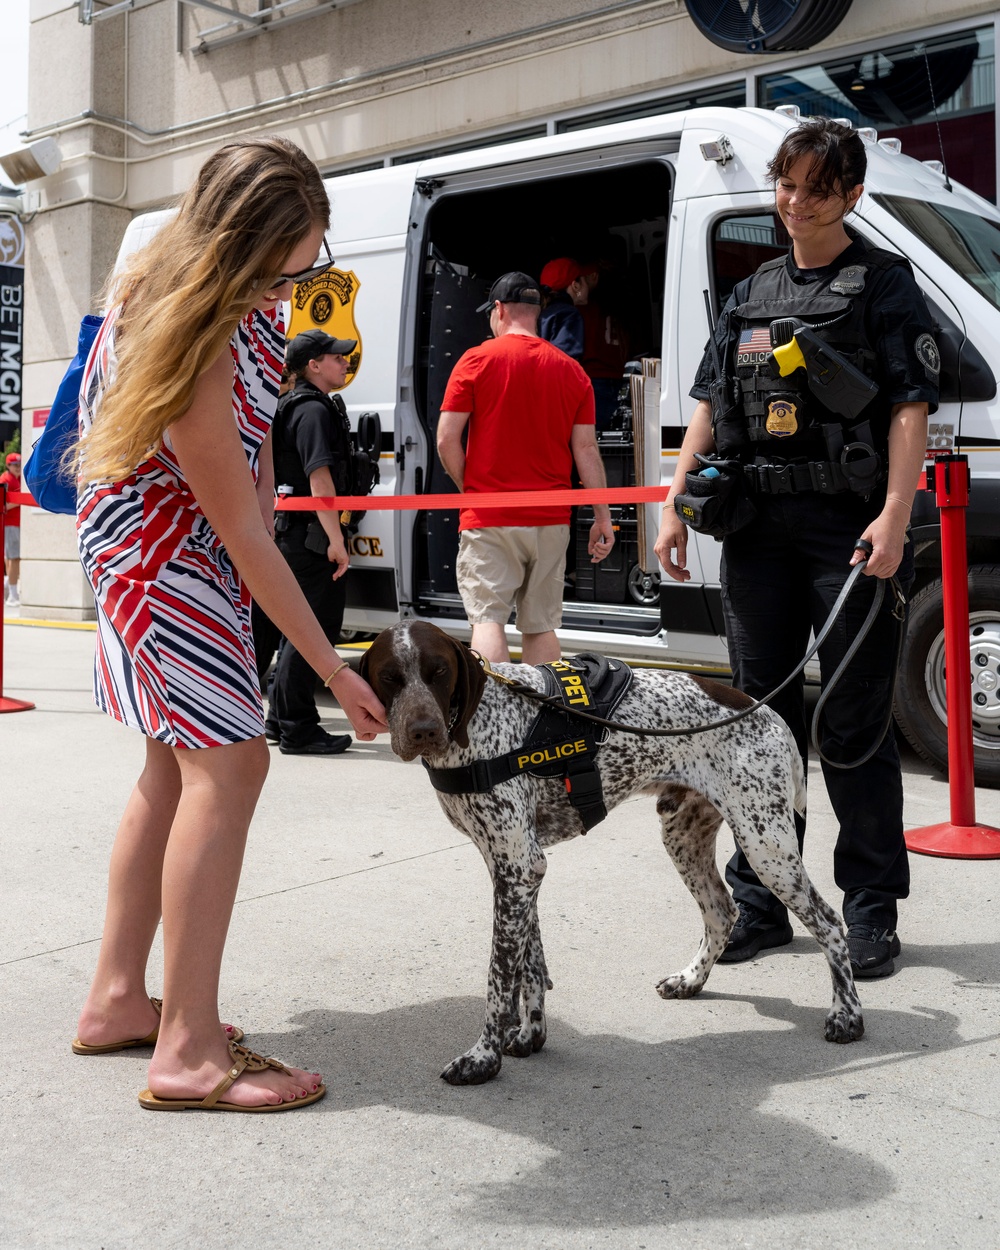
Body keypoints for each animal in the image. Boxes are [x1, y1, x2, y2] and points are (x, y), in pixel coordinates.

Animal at [362, 620, 865, 1080]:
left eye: (439, 672)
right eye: (389, 677)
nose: (424, 731)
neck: (477, 726)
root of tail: (769, 715)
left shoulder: (517, 866)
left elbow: (499, 977)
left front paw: (483, 1058)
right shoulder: (516, 867)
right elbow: (530, 963)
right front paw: (530, 1036)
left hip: (766, 845)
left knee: (829, 922)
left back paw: (847, 1016)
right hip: (684, 834)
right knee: (722, 911)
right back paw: (690, 980)